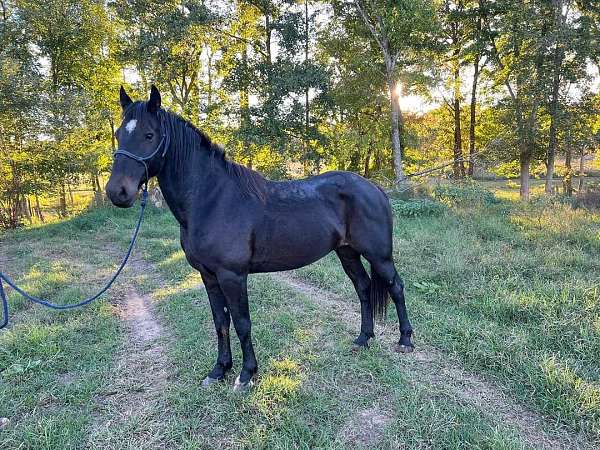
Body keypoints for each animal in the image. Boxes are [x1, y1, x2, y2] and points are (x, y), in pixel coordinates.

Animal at [106, 87, 412, 390]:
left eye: (149, 135)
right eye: (119, 134)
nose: (117, 192)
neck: (212, 199)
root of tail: (374, 188)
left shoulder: (232, 276)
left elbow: (242, 323)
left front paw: (246, 375)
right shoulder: (208, 276)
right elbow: (220, 322)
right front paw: (219, 370)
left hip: (378, 255)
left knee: (396, 287)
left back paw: (405, 340)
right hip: (347, 252)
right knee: (363, 287)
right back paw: (363, 339)